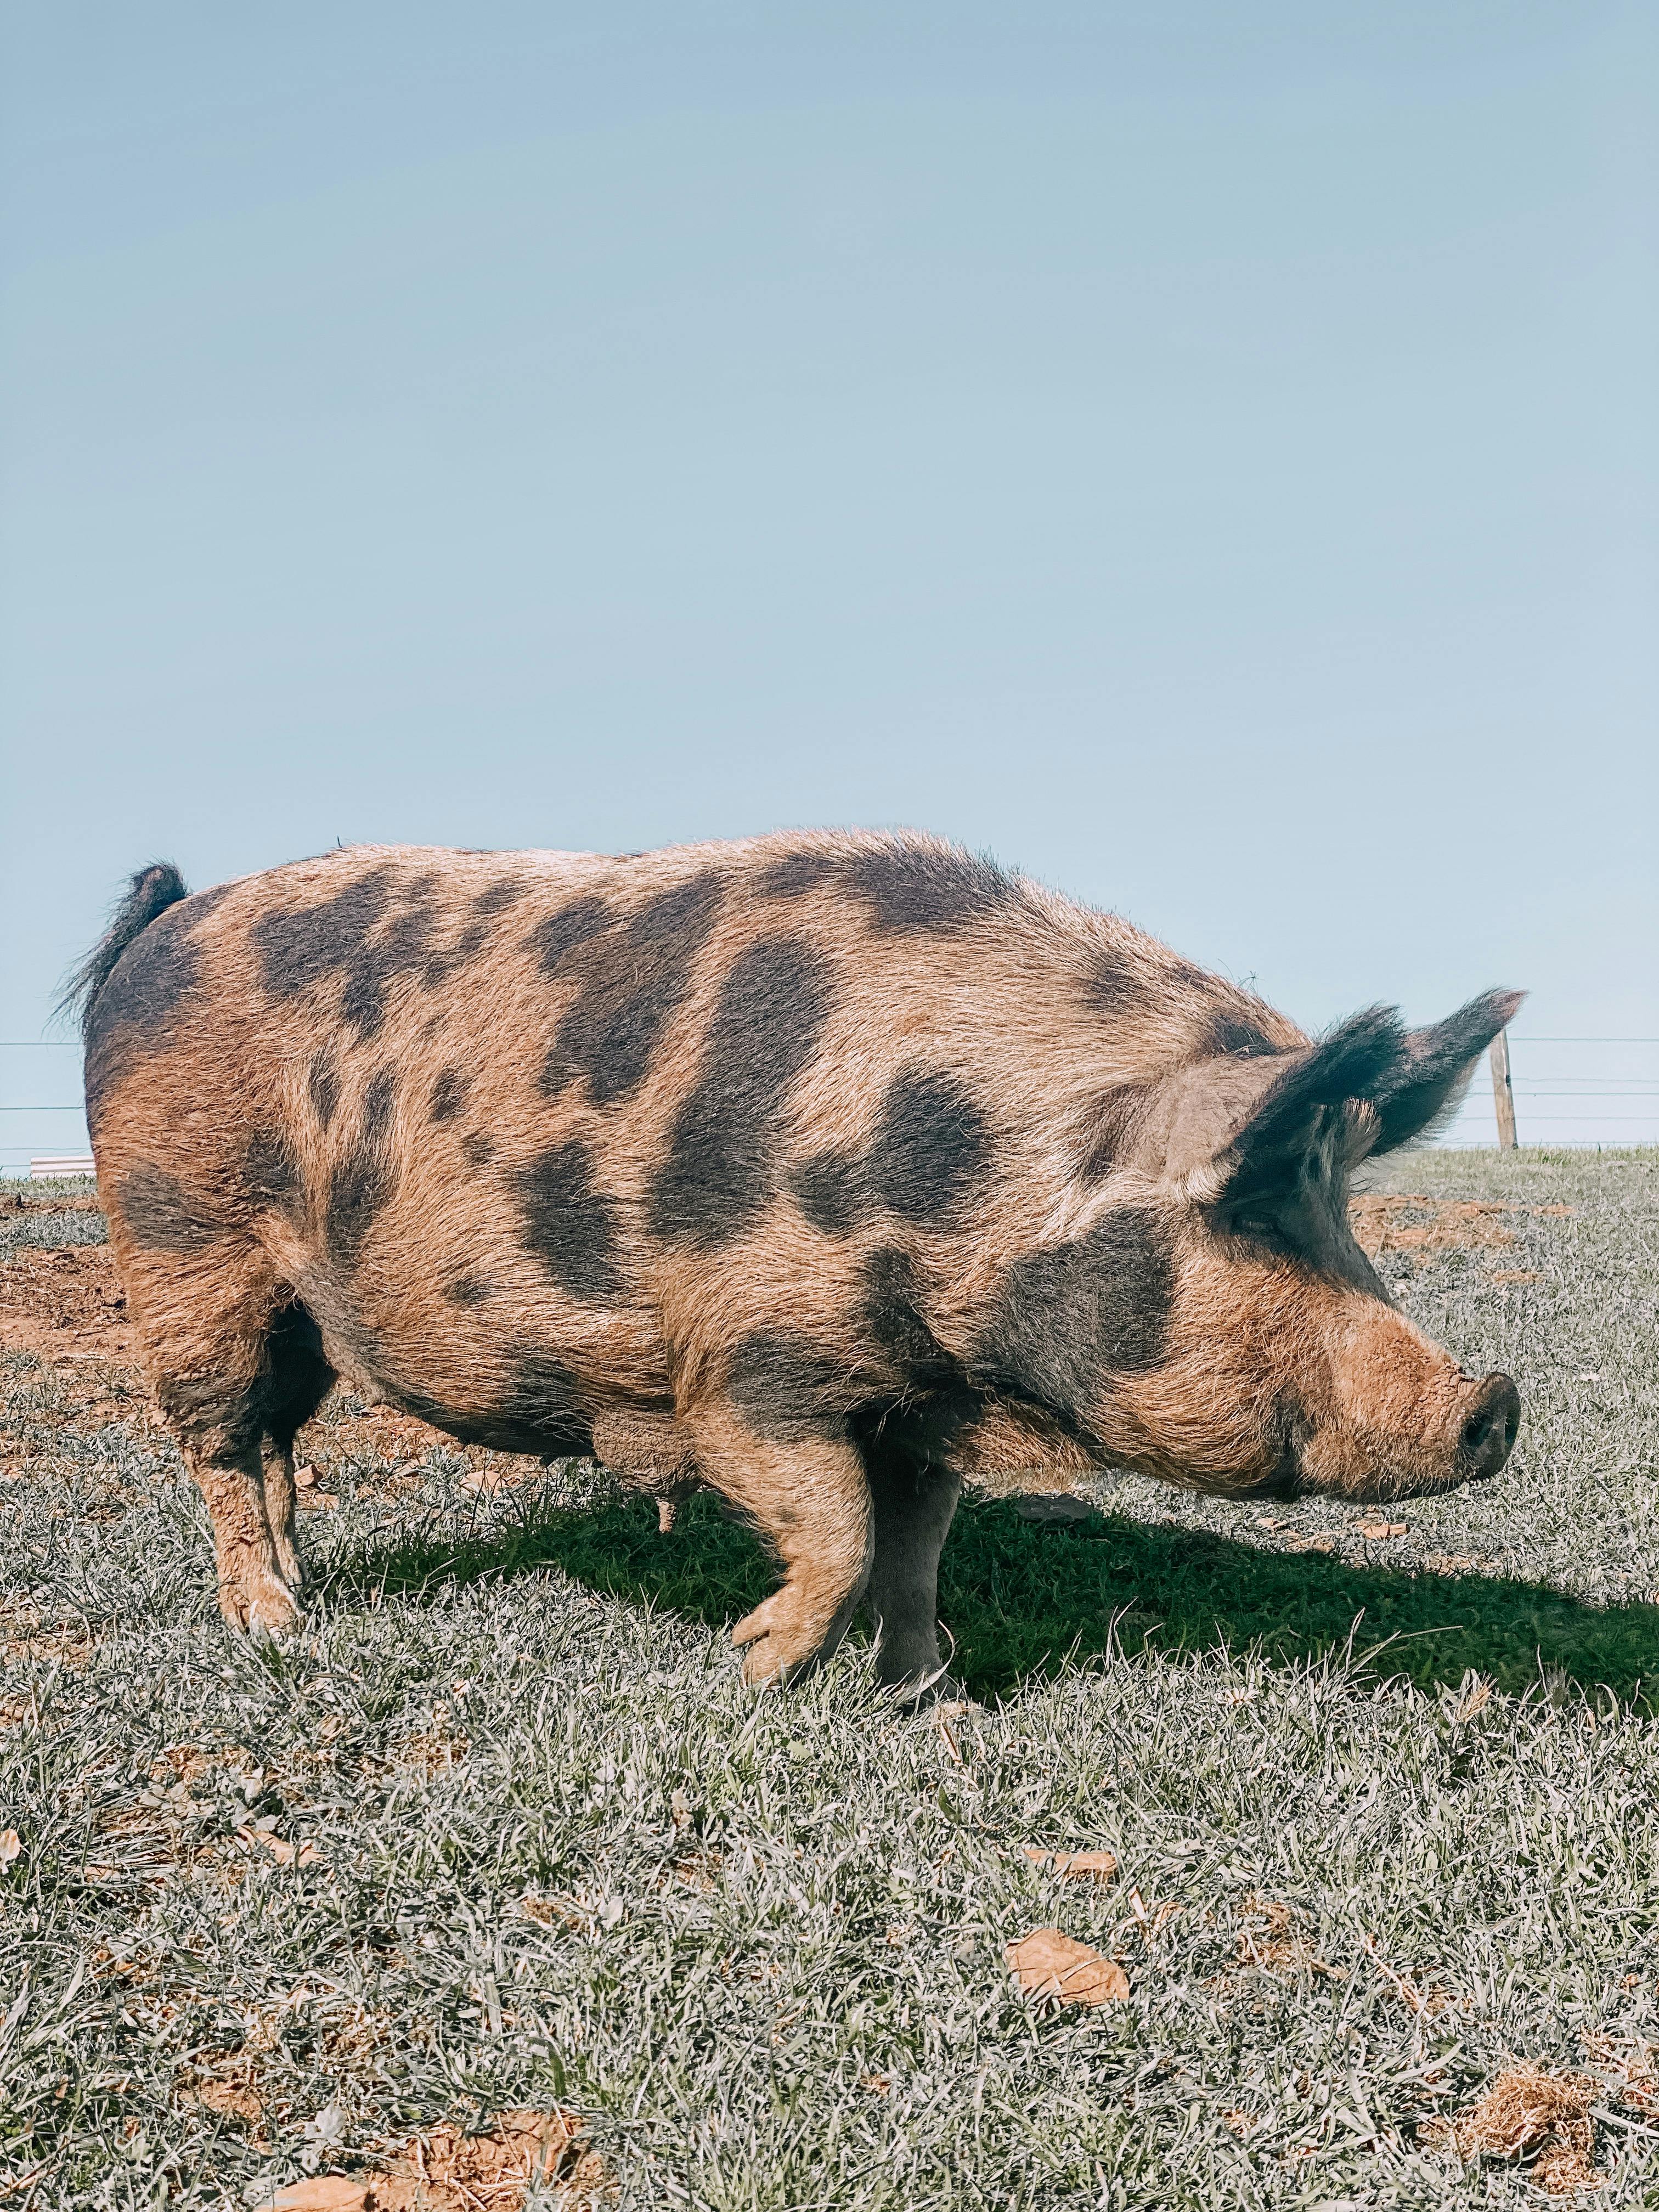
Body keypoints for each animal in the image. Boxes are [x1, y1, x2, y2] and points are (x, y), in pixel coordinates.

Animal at [68, 833, 1521, 1689]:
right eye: (1255, 1209)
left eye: (1340, 1201)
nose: (1495, 1401)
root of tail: (162, 929)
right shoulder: (746, 1360)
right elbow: (835, 1525)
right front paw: (753, 1665)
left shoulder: (926, 1403)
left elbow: (917, 1543)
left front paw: (929, 1686)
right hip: (184, 1239)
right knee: (213, 1441)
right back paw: (272, 1629)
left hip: (302, 1311)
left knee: (273, 1442)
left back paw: (303, 1594)